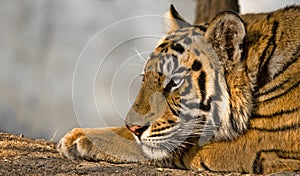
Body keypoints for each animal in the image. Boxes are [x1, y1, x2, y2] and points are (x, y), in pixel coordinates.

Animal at [56, 4, 300, 174]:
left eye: (174, 82)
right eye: (145, 78)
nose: (134, 127)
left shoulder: (258, 143)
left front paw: (79, 137)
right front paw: (77, 137)